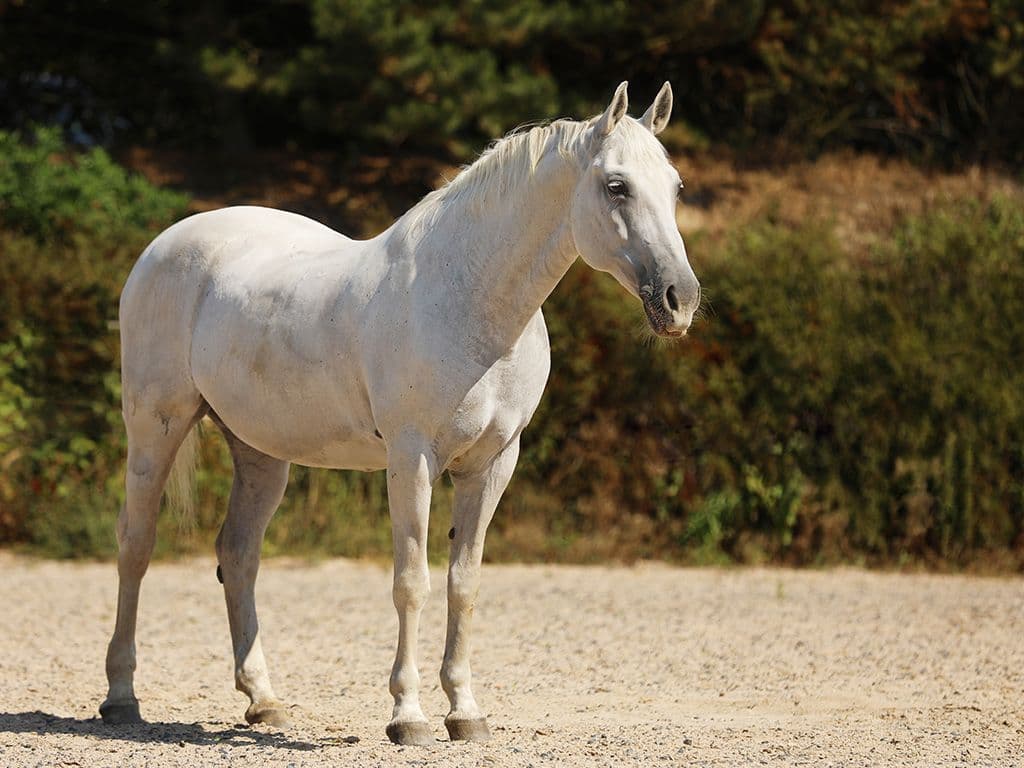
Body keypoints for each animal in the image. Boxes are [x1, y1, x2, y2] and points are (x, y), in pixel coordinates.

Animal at [99, 80, 700, 745]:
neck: (467, 302)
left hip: (259, 453)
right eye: (617, 185)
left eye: (675, 187)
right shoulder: (412, 459)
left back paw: (263, 701)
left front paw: (465, 712)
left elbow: (464, 583)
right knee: (136, 545)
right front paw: (407, 716)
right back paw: (122, 698)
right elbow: (412, 582)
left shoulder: (493, 464)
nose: (679, 300)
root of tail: (163, 246)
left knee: (238, 555)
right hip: (155, 427)